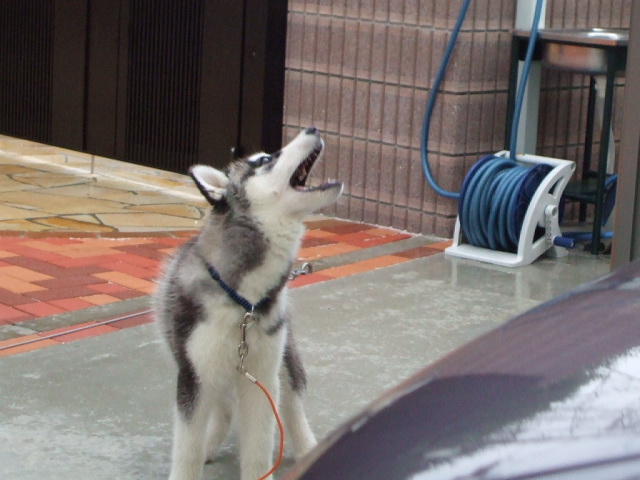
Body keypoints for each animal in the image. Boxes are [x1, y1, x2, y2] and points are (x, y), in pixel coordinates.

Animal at [154, 127, 342, 480]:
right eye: (265, 159)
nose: (312, 129)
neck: (244, 302)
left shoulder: (261, 376)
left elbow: (258, 447)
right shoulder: (194, 375)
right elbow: (187, 451)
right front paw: (195, 456)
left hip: (283, 356)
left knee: (291, 403)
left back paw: (307, 447)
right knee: (224, 405)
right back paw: (210, 445)